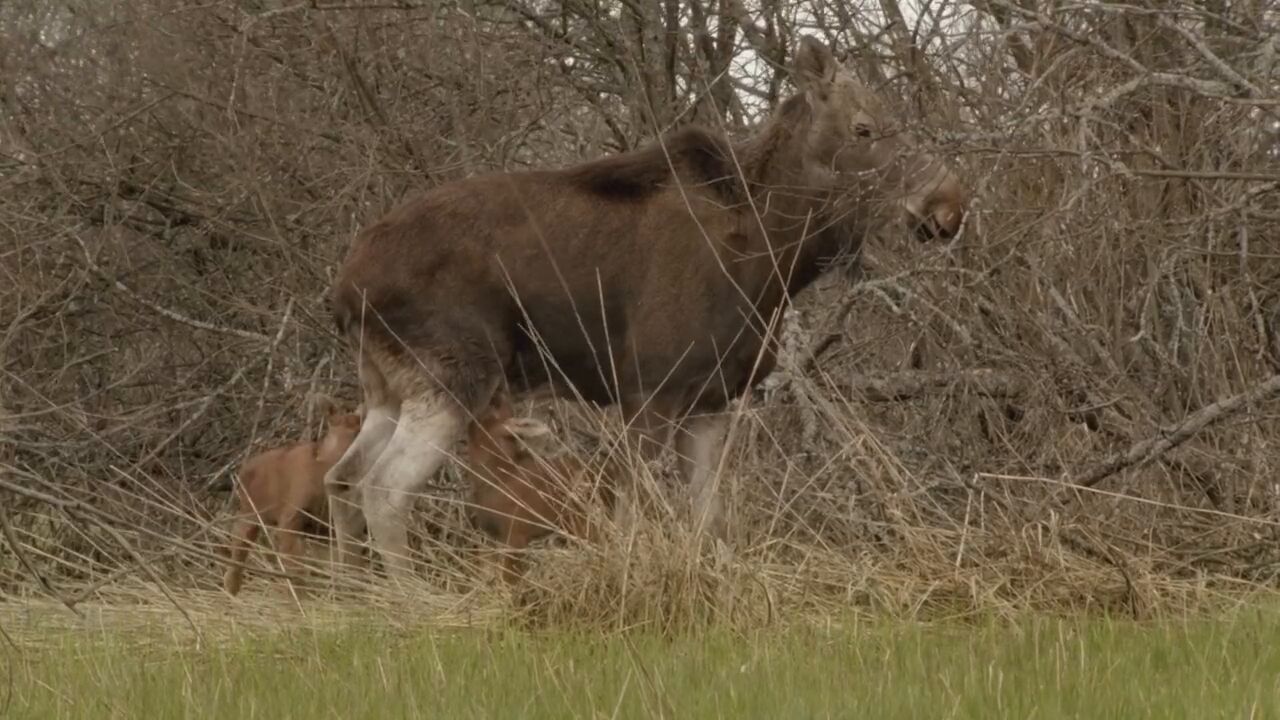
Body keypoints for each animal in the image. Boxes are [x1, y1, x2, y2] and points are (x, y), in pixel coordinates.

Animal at [325, 37, 962, 576]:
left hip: (387, 386)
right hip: (456, 376)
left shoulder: (711, 400)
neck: (774, 257)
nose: (948, 204)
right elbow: (634, 511)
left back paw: (352, 591)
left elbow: (708, 521)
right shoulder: (649, 391)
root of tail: (347, 285)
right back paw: (411, 599)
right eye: (864, 128)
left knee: (341, 478)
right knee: (384, 488)